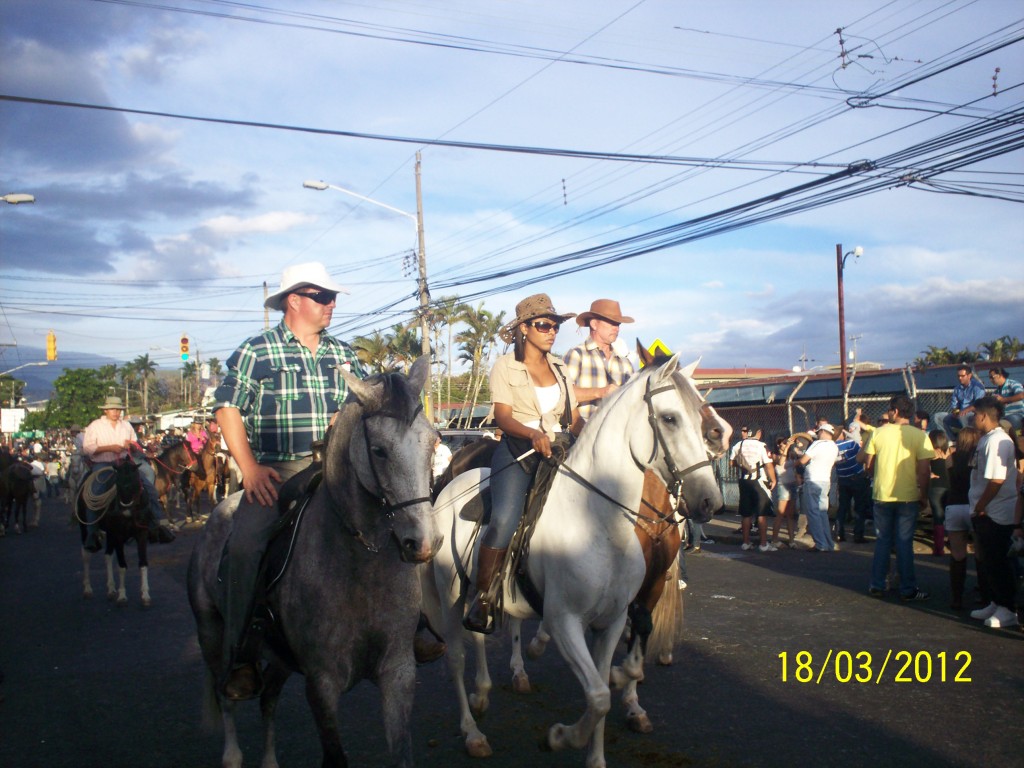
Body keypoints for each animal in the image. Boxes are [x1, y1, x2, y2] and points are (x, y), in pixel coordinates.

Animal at [188, 360, 440, 768]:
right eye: (379, 451)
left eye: (433, 441)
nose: (423, 542)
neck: (359, 560)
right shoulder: (322, 683)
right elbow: (334, 756)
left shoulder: (399, 673)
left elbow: (401, 752)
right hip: (212, 634)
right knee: (227, 695)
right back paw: (232, 753)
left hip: (277, 656)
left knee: (269, 698)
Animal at [419, 358, 724, 765]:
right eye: (671, 418)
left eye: (701, 417)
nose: (710, 501)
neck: (599, 522)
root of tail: (450, 486)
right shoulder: (565, 621)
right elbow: (598, 696)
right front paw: (560, 737)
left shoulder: (613, 619)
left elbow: (606, 688)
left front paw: (595, 752)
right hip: (450, 589)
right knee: (456, 655)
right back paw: (473, 733)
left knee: (479, 632)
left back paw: (482, 693)